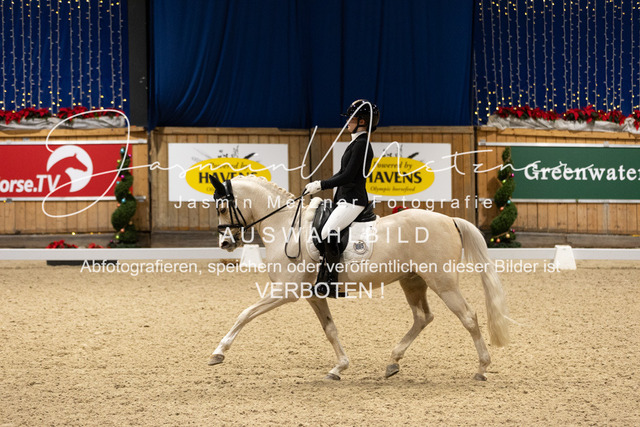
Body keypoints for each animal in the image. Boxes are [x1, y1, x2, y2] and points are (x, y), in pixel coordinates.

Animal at [207, 174, 510, 381]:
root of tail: (450, 220)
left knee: (468, 317)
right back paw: (393, 361)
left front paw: (218, 352)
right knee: (423, 317)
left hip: (442, 282)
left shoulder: (286, 292)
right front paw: (339, 367)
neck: (286, 228)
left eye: (222, 208)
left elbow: (245, 313)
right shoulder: (312, 295)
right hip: (412, 281)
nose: (225, 243)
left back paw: (482, 368)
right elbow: (330, 330)